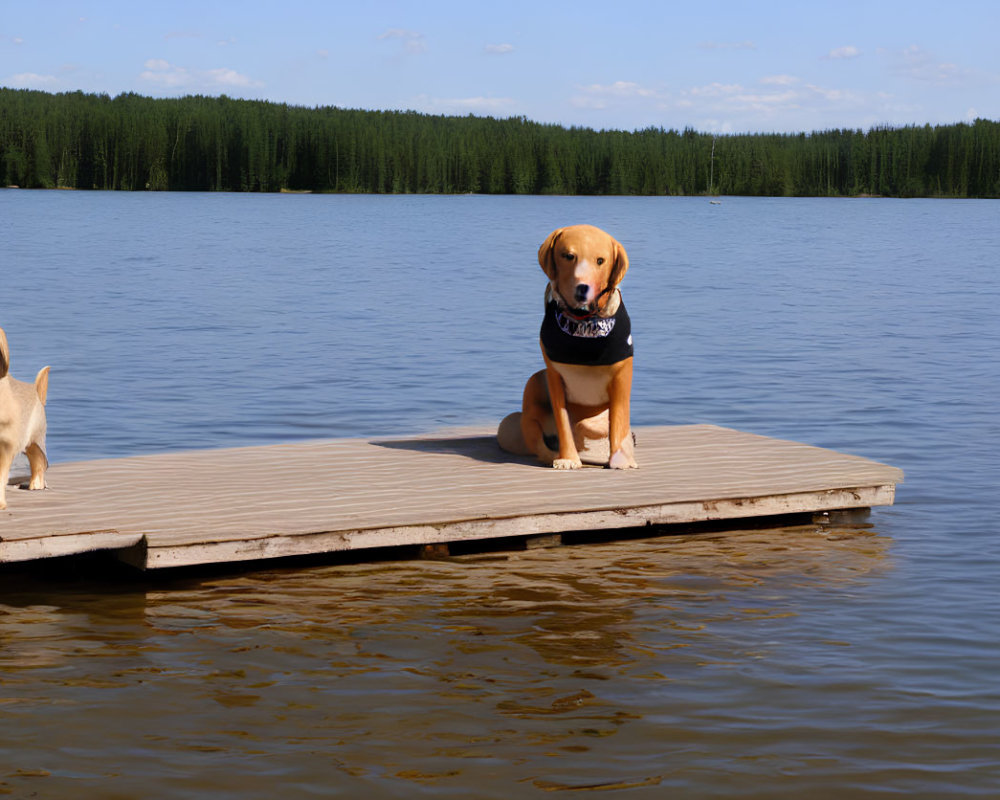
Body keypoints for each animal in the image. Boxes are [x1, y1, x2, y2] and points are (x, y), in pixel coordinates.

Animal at [496, 223, 636, 468]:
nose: (582, 288)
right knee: (538, 440)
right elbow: (563, 423)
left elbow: (618, 420)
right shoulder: (554, 377)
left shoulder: (622, 373)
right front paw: (568, 458)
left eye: (601, 260)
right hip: (534, 383)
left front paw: (621, 459)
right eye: (568, 256)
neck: (583, 323)